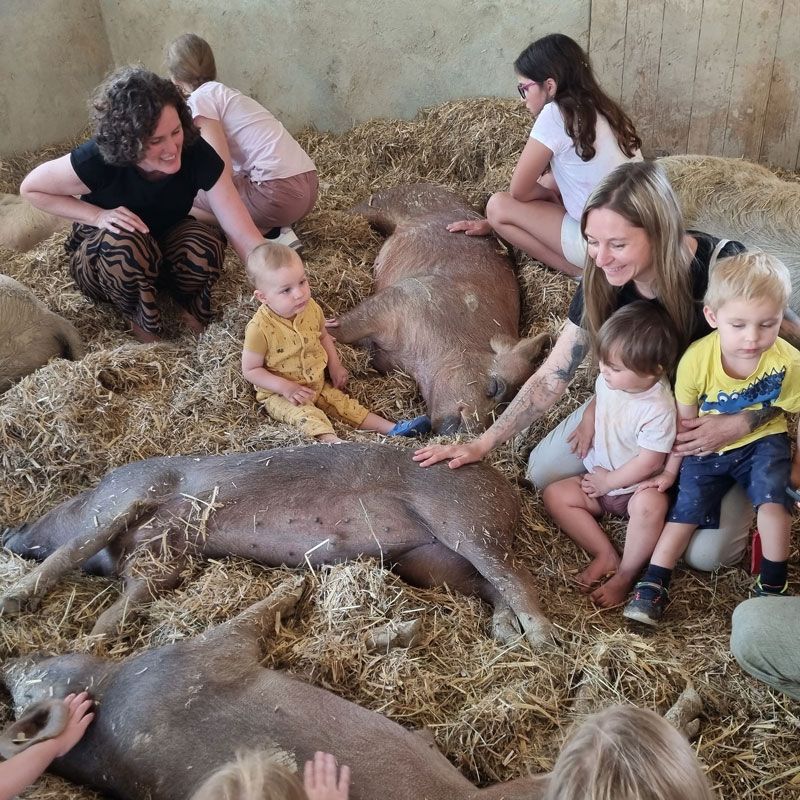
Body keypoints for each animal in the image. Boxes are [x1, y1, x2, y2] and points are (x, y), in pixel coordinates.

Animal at [1, 440, 552, 648]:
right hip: (431, 562)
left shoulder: (134, 494)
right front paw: (93, 638)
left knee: (517, 577)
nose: (10, 531)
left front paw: (14, 601)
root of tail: (509, 491)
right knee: (492, 586)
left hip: (463, 521)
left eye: (50, 510)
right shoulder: (164, 560)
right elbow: (132, 598)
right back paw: (506, 634)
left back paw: (542, 639)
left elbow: (71, 549)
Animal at [1, 576, 552, 800]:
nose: (12, 660)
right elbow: (249, 621)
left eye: (18, 691)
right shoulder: (200, 657)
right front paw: (296, 586)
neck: (108, 688)